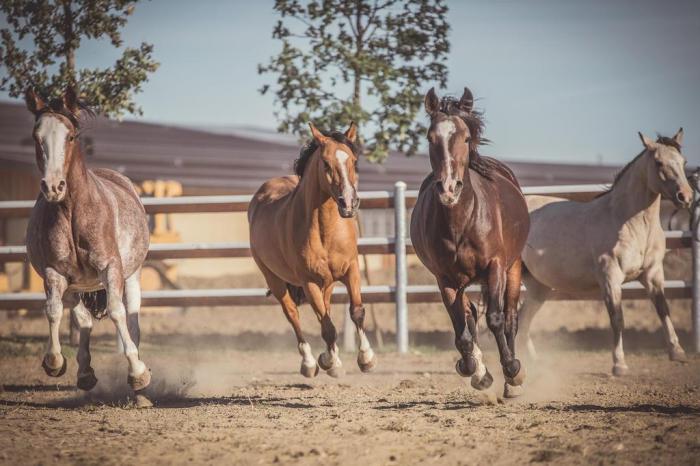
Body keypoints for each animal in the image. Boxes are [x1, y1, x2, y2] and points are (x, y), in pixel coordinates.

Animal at [25, 87, 150, 400]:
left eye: (70, 136)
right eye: (36, 136)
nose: (53, 187)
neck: (73, 213)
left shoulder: (111, 268)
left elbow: (118, 312)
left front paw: (138, 374)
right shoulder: (54, 273)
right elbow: (53, 310)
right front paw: (54, 362)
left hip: (131, 275)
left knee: (132, 320)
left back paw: (140, 384)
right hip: (78, 287)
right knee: (82, 321)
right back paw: (84, 373)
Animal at [247, 123, 378, 378]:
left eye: (354, 160)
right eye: (325, 163)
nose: (349, 203)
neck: (325, 231)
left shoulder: (351, 270)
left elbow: (355, 311)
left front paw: (366, 359)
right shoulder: (308, 282)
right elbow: (327, 327)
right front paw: (331, 364)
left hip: (327, 283)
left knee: (324, 311)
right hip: (276, 280)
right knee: (293, 315)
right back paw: (309, 363)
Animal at [410, 86, 532, 396]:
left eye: (465, 138)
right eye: (430, 138)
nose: (449, 188)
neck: (461, 222)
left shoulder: (496, 266)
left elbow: (496, 319)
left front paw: (512, 370)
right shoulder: (445, 279)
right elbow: (462, 331)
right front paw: (475, 371)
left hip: (513, 267)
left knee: (510, 318)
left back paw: (513, 381)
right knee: (471, 314)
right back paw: (480, 371)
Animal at [516, 129, 692, 376]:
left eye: (683, 162)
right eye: (658, 162)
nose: (685, 197)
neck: (627, 221)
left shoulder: (653, 274)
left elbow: (663, 310)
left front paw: (678, 352)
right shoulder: (610, 277)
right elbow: (617, 319)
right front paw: (619, 364)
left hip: (538, 286)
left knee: (521, 320)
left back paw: (533, 363)